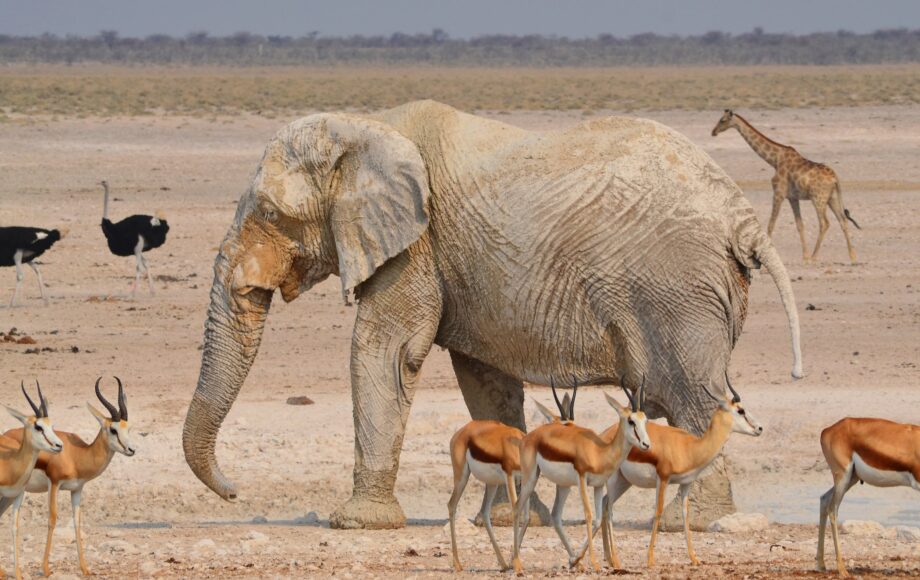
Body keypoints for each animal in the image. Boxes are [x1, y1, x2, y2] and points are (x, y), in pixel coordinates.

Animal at [183, 100, 803, 530]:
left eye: (271, 213)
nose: (235, 492)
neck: (366, 126)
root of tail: (743, 219)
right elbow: (483, 379)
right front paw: (508, 520)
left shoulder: (417, 245)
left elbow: (386, 352)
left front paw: (357, 523)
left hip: (677, 290)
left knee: (692, 395)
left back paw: (691, 522)